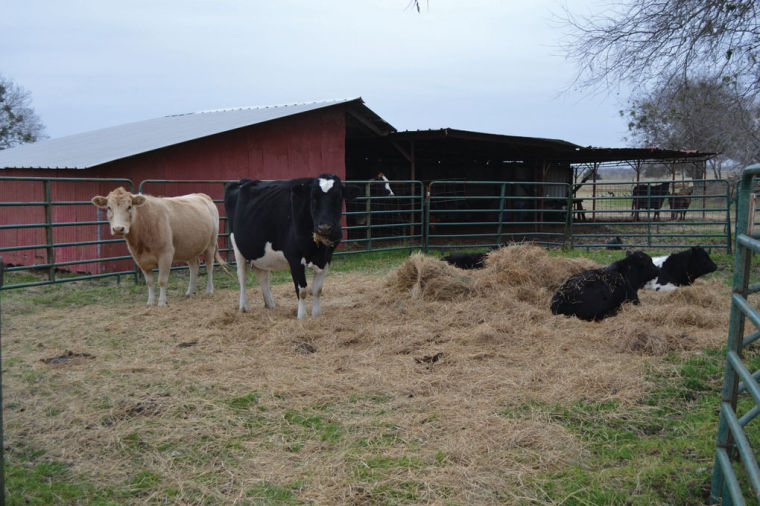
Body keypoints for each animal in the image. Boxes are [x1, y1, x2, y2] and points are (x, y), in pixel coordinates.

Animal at [91, 186, 226, 304]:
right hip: (190, 247)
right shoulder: (141, 259)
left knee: (209, 266)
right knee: (194, 267)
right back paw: (189, 292)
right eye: (109, 207)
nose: (118, 229)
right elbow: (149, 282)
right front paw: (150, 302)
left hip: (211, 243)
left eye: (129, 206)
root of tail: (202, 196)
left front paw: (161, 302)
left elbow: (162, 281)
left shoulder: (166, 254)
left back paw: (209, 290)